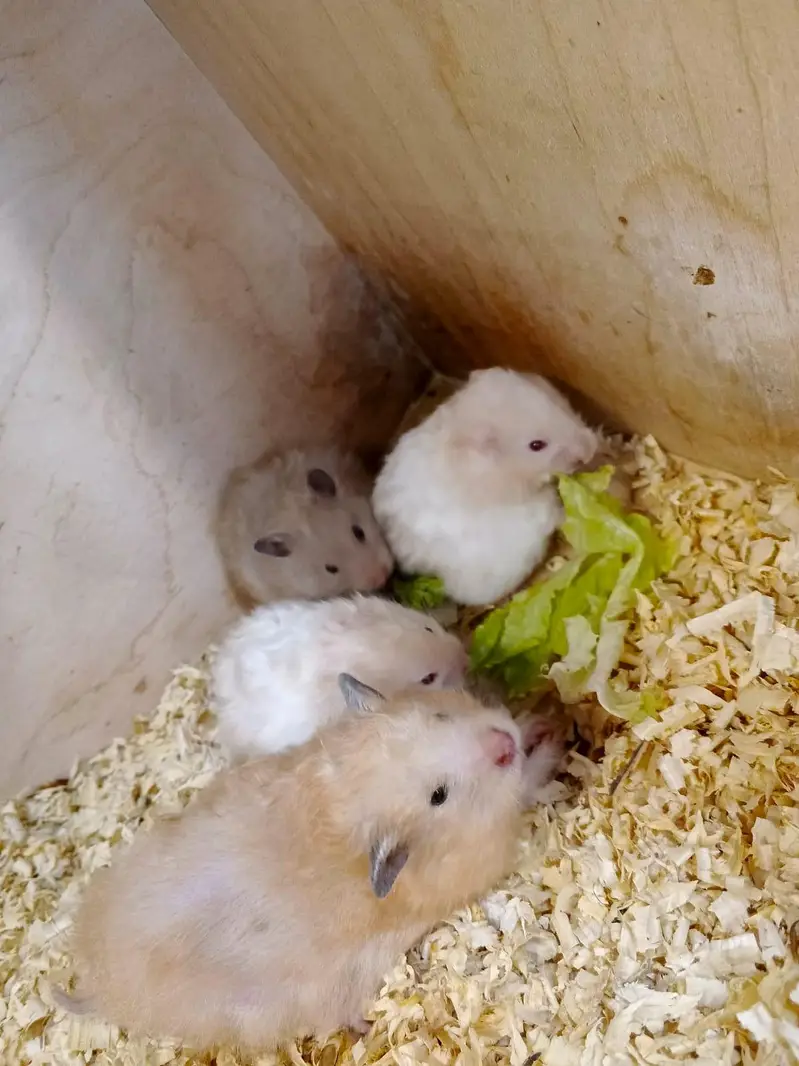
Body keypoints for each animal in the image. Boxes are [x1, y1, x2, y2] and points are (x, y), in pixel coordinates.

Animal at [55, 680, 563, 1049]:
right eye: (438, 795)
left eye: (441, 716)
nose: (502, 744)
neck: (338, 805)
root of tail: (100, 990)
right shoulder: (486, 851)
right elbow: (528, 783)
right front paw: (547, 734)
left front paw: (537, 716)